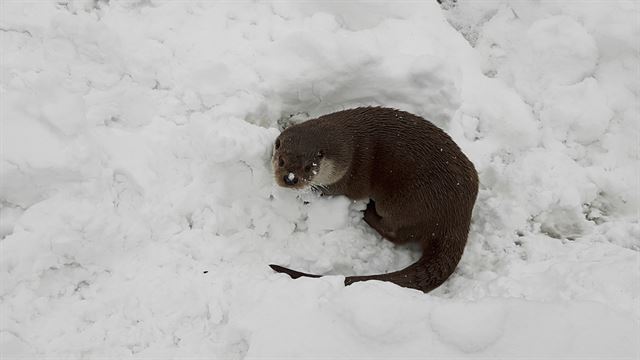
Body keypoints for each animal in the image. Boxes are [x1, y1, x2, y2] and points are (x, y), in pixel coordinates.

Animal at [268, 107, 478, 292]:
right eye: (282, 161)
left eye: (308, 168)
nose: (290, 179)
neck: (347, 150)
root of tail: (456, 218)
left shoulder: (347, 180)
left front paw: (307, 198)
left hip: (405, 203)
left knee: (396, 233)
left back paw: (368, 212)